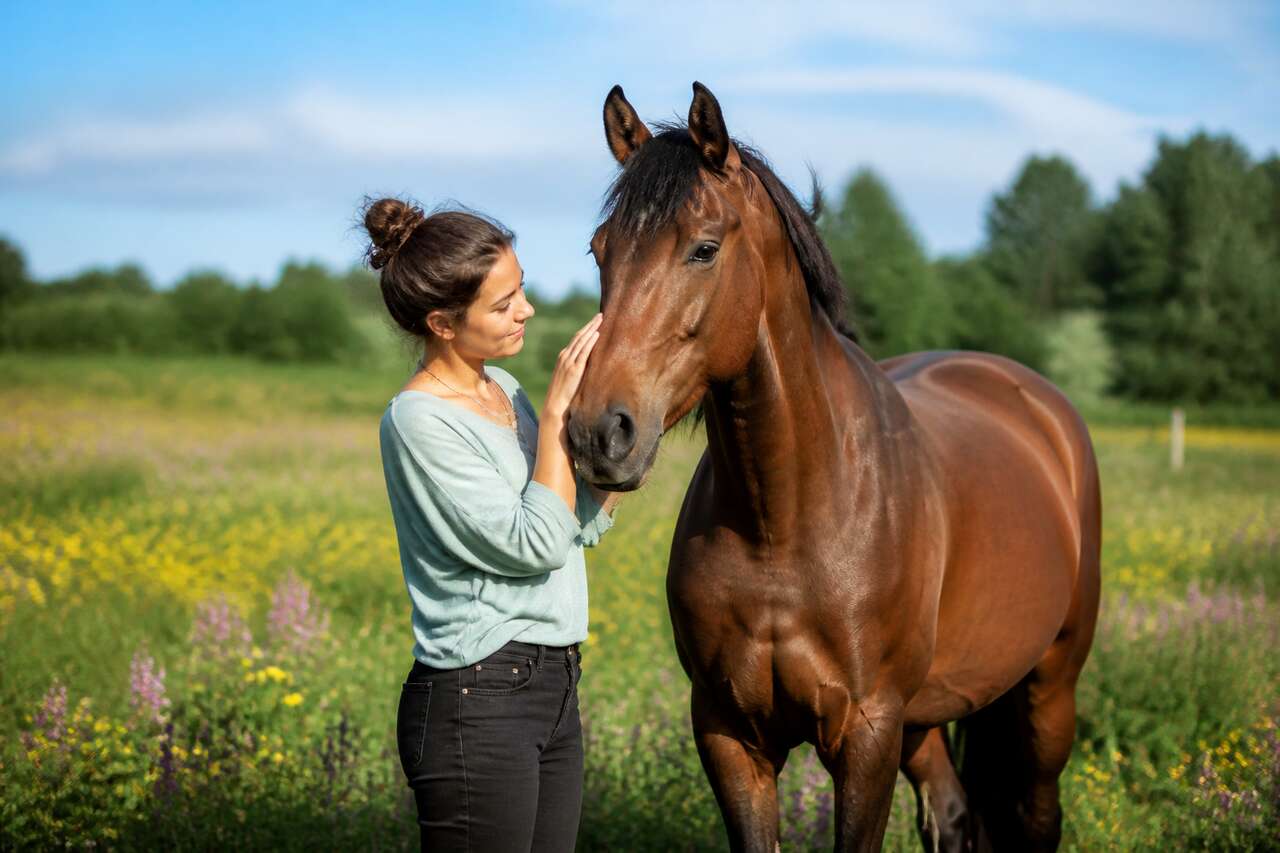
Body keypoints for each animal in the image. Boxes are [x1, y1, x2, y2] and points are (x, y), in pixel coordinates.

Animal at [566, 82, 1101, 852]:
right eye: (600, 249)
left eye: (703, 248)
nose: (597, 433)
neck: (784, 521)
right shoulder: (729, 733)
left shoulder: (867, 731)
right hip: (926, 716)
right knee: (953, 811)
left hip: (1048, 686)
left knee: (1035, 814)